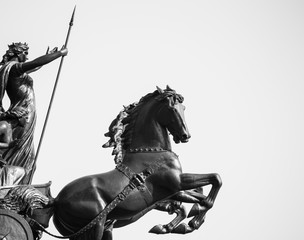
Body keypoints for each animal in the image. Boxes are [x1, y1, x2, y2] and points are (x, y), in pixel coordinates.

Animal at [50, 86, 221, 240]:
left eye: (183, 107)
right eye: (172, 108)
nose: (185, 135)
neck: (151, 151)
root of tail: (56, 200)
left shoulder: (173, 192)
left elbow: (198, 193)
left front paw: (177, 225)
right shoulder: (177, 183)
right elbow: (215, 180)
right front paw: (194, 217)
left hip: (84, 230)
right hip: (95, 225)